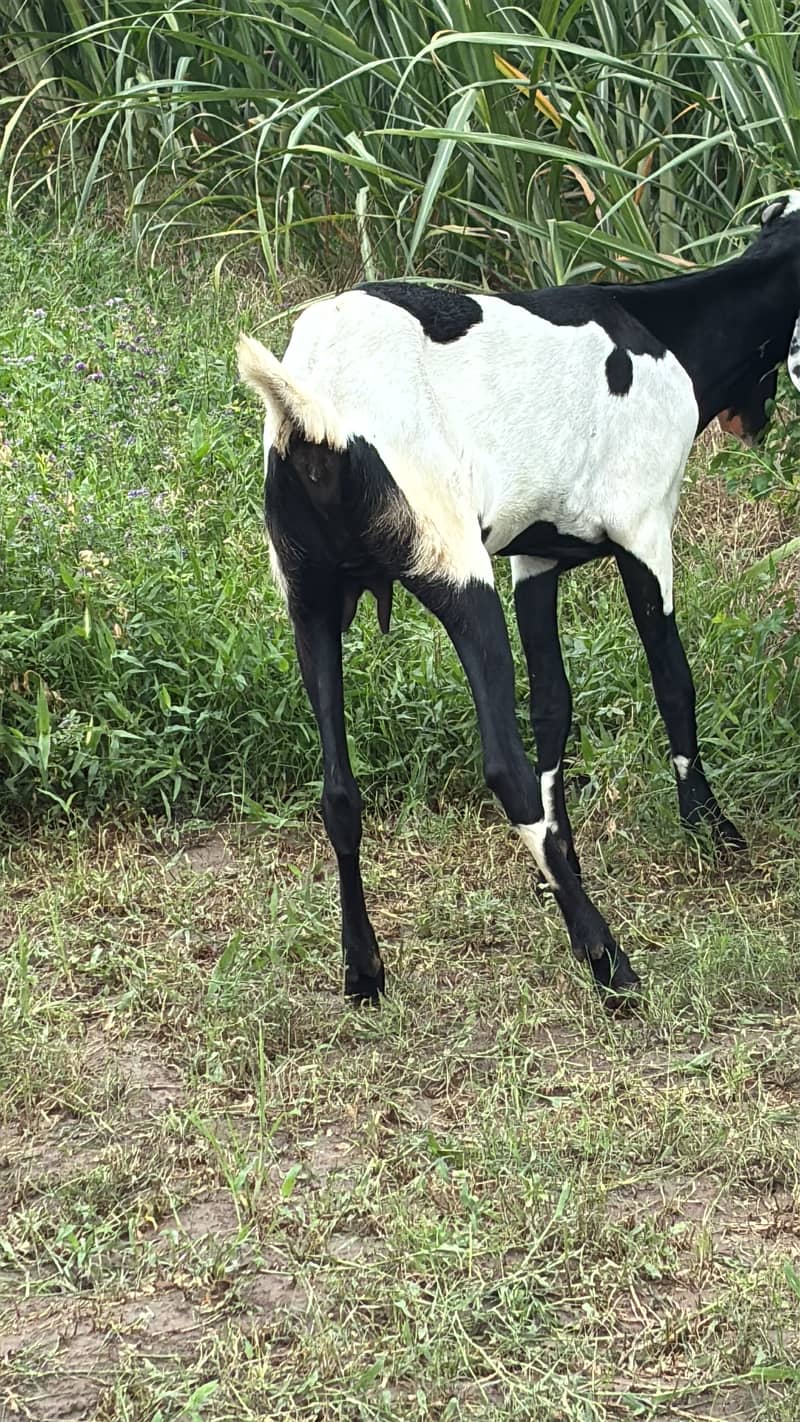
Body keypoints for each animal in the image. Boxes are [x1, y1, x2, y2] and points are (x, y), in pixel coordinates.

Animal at [238, 192, 800, 1007]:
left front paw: (565, 855)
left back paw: (364, 970)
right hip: (457, 570)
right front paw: (711, 828)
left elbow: (553, 705)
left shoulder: (537, 560)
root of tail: (315, 411)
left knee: (338, 791)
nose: (755, 423)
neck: (668, 333)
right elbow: (672, 682)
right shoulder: (644, 531)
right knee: (503, 768)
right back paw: (609, 961)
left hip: (308, 599)